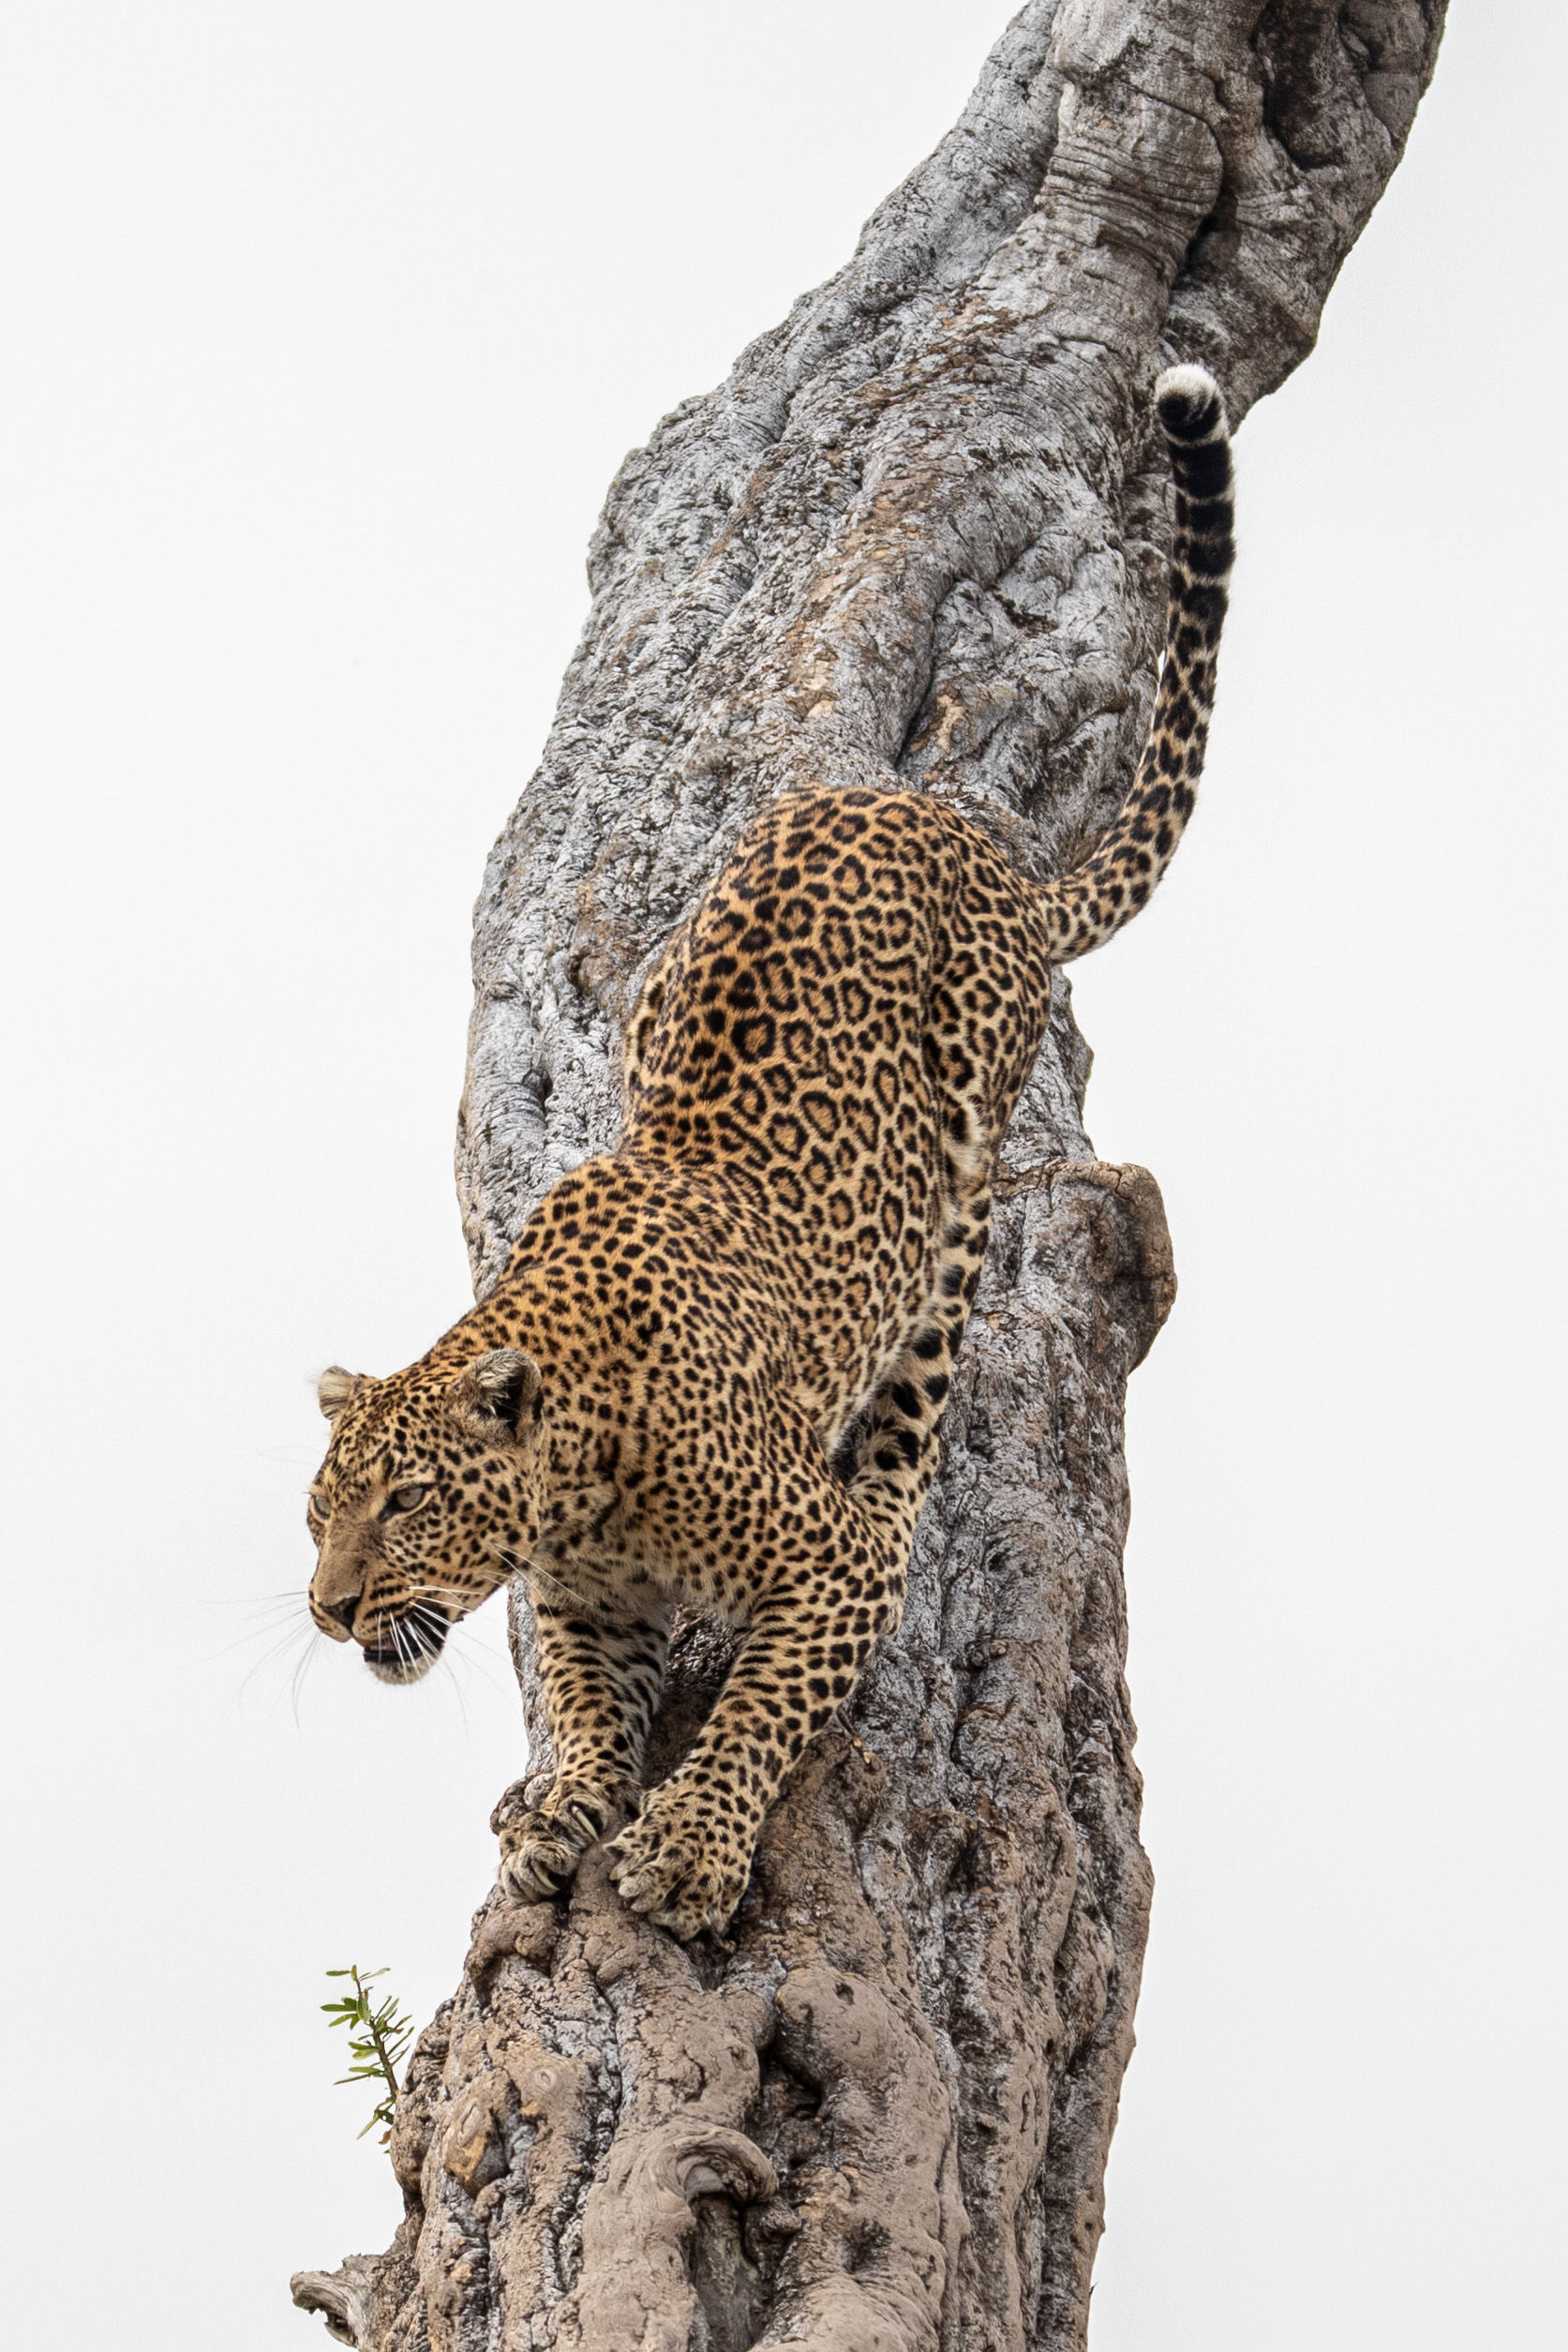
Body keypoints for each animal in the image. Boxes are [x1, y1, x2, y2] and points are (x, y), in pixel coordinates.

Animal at [305, 366, 1235, 1941]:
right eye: (319, 1510)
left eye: (407, 1502)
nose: (323, 1607)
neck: (577, 1464)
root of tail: (961, 830)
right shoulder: (581, 1604)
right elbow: (583, 1702)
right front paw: (561, 1806)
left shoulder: (826, 1568)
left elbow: (760, 1703)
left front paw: (685, 1846)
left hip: (957, 1178)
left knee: (923, 1391)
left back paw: (896, 1464)